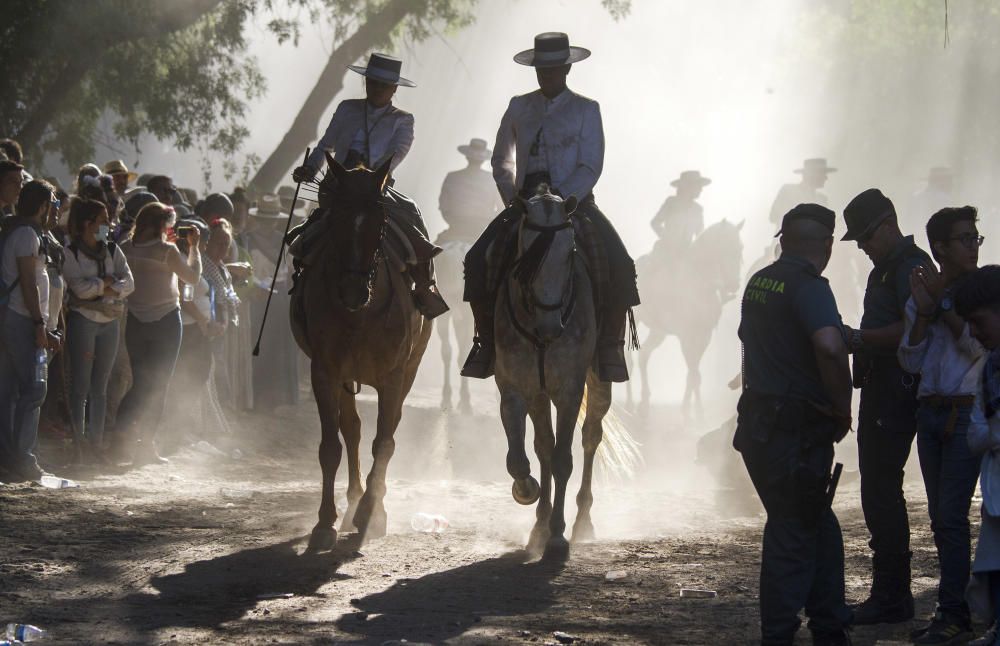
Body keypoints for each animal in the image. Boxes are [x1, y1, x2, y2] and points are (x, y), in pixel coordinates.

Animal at [290, 154, 430, 556]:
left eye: (380, 222)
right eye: (336, 218)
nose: (353, 291)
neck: (359, 314)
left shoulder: (394, 376)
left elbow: (384, 442)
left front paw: (373, 512)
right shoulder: (325, 372)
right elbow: (331, 446)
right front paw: (325, 522)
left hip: (410, 368)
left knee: (388, 429)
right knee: (351, 429)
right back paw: (352, 501)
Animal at [492, 187, 608, 560]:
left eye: (569, 253)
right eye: (526, 256)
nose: (550, 327)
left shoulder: (569, 391)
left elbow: (562, 460)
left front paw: (558, 536)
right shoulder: (515, 389)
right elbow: (520, 458)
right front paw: (527, 491)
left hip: (598, 384)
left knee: (590, 437)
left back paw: (582, 521)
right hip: (539, 396)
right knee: (543, 445)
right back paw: (538, 527)